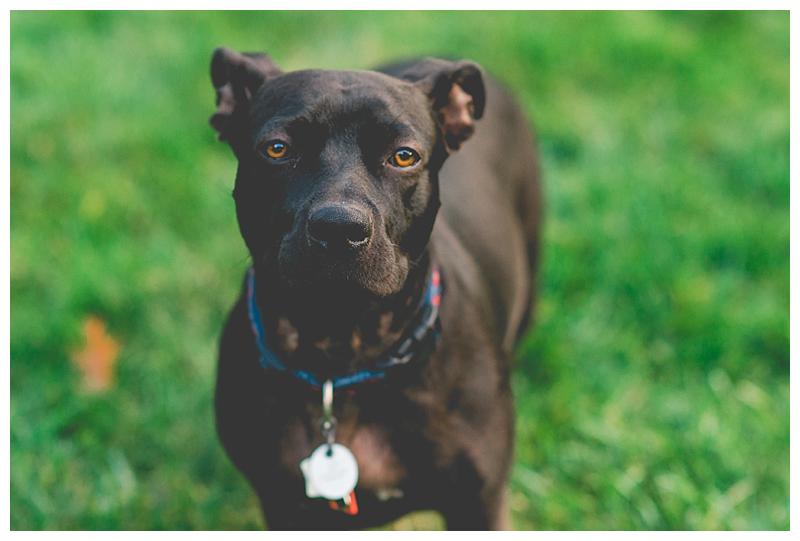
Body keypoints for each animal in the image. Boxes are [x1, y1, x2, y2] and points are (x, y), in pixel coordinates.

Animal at [209, 46, 540, 528]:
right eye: (278, 149)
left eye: (404, 156)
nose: (339, 228)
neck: (342, 347)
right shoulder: (283, 505)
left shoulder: (479, 502)